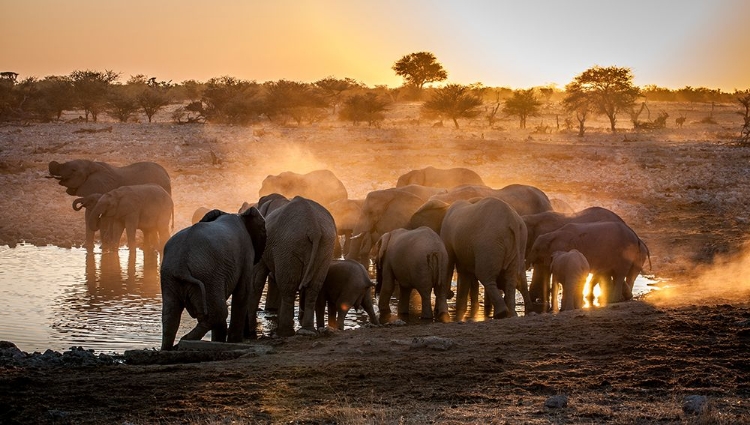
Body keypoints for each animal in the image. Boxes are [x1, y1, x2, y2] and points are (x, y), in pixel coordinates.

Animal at [159, 207, 268, 350]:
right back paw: (182, 342)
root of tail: (181, 266)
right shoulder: (246, 253)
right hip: (208, 275)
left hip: (171, 277)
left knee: (171, 314)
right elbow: (242, 293)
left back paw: (169, 348)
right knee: (218, 313)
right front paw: (234, 342)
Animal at [248, 195, 336, 338]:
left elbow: (257, 279)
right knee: (313, 288)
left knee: (288, 288)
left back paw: (284, 333)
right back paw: (307, 330)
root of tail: (314, 228)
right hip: (325, 247)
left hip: (289, 245)